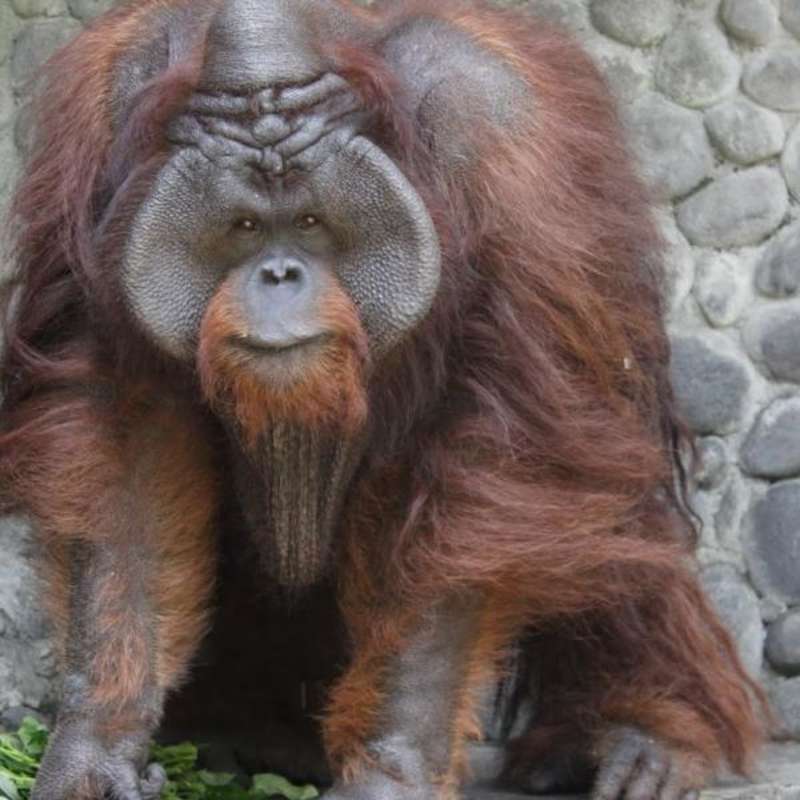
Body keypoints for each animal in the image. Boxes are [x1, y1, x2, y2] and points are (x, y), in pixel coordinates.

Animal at [0, 1, 765, 799]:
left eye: (310, 223)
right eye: (244, 227)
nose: (278, 274)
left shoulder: (495, 130)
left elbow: (494, 462)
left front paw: (392, 768)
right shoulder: (100, 124)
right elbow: (123, 428)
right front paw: (94, 745)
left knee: (605, 498)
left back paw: (644, 738)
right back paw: (242, 738)